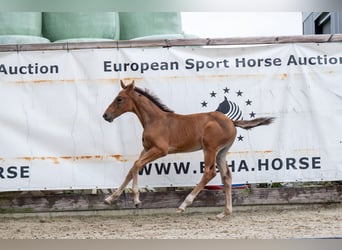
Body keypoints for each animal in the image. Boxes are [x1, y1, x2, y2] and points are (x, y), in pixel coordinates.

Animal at [102, 80, 276, 219]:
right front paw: (110, 199)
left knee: (210, 173)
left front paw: (137, 200)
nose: (105, 116)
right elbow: (132, 169)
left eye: (119, 99)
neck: (155, 120)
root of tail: (232, 121)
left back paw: (183, 205)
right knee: (226, 176)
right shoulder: (146, 149)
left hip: (210, 149)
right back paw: (224, 212)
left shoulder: (160, 150)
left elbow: (137, 165)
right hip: (221, 152)